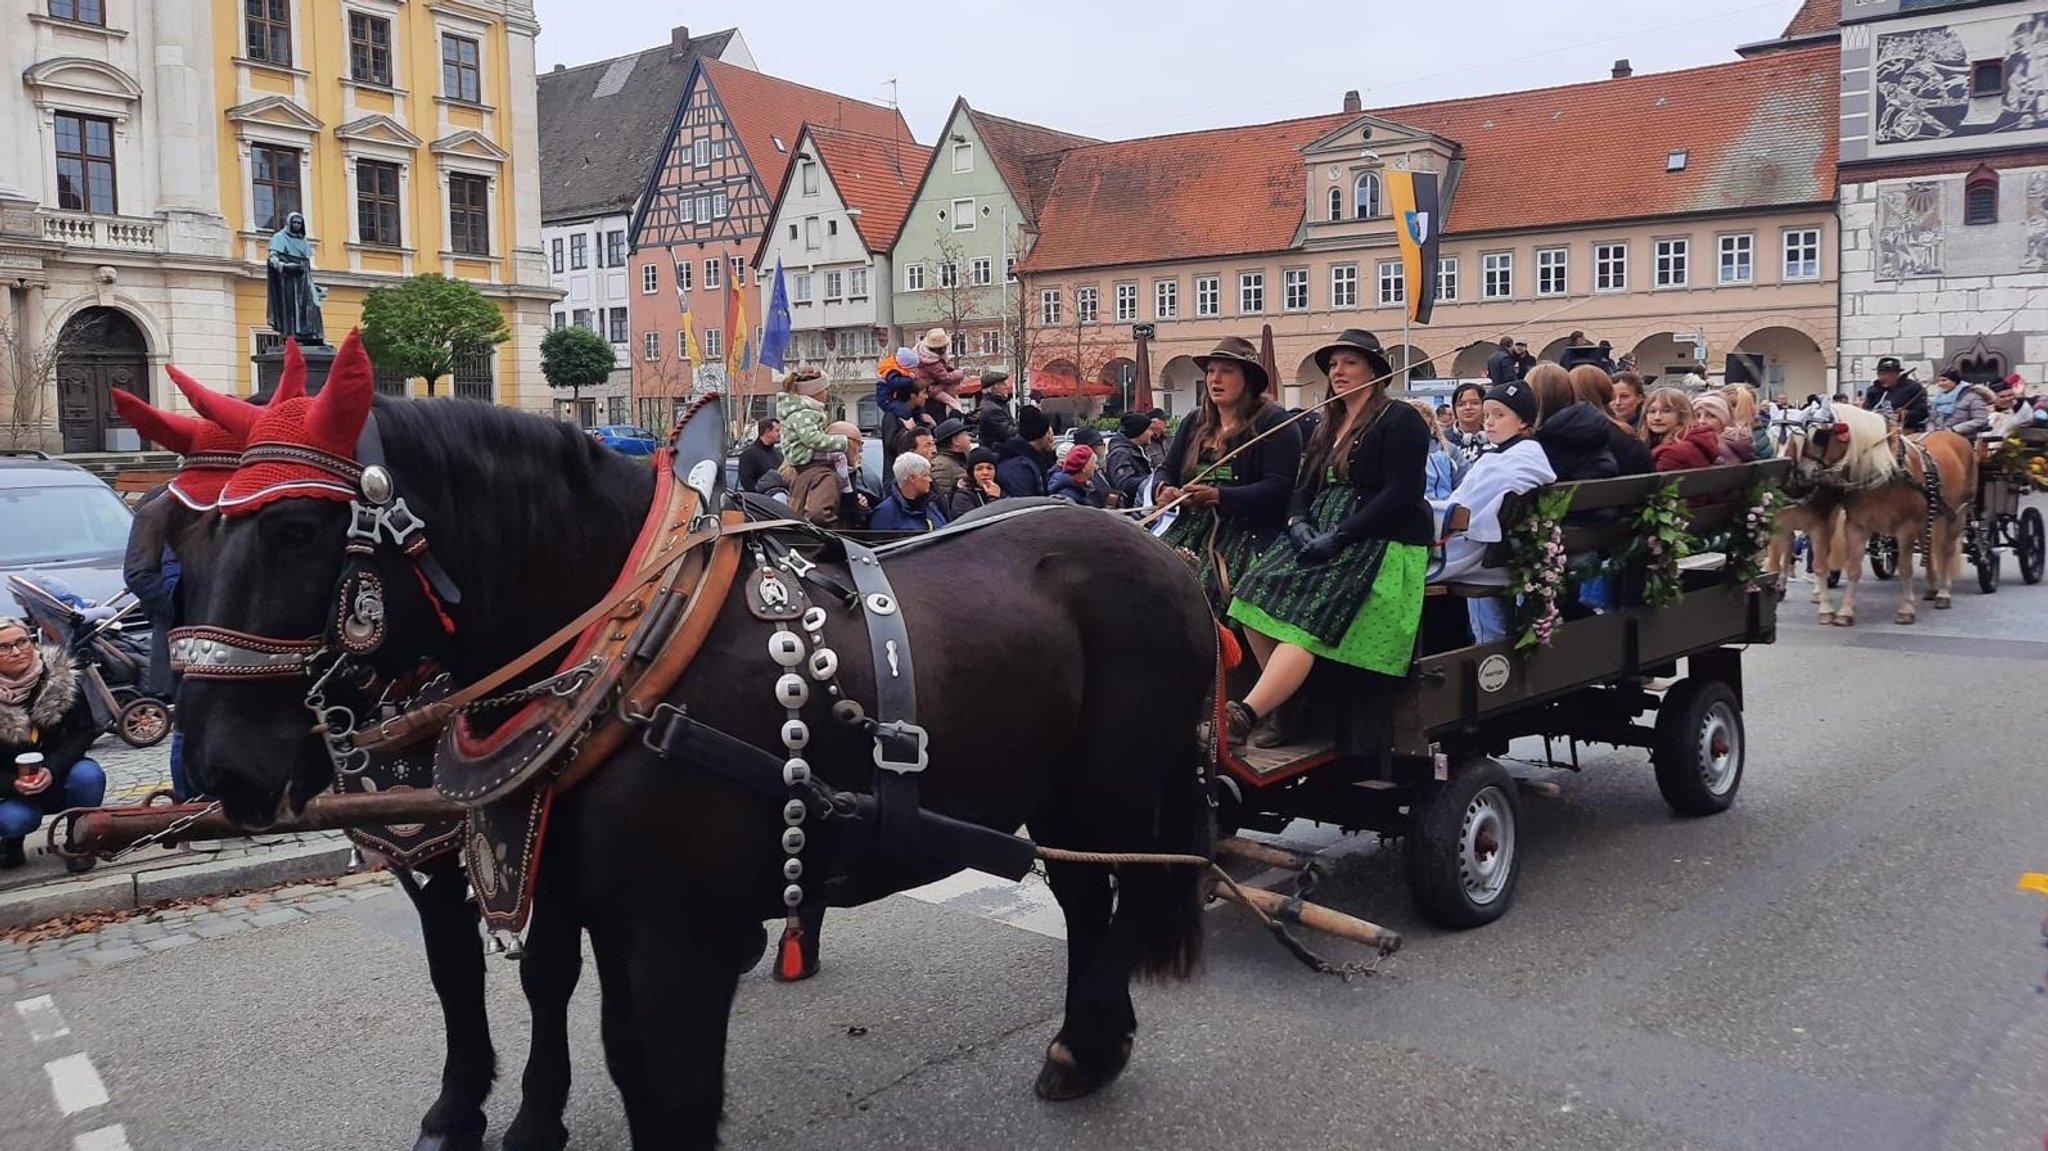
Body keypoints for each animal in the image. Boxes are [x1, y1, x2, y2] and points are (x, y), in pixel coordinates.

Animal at [117, 358, 589, 1146]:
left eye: (297, 530)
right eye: (176, 537)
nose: (222, 770)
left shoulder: (556, 840)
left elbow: (548, 970)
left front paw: (537, 1111)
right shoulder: (425, 843)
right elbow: (451, 966)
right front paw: (458, 1103)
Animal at [172, 327, 1212, 1138]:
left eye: (297, 531)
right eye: (186, 533)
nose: (219, 767)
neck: (637, 641)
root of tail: (1160, 547)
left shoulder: (681, 936)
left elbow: (669, 1091)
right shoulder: (600, 909)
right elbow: (611, 1051)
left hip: (1114, 788)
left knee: (1121, 893)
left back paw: (1088, 1038)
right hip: (1059, 793)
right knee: (1084, 897)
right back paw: (1090, 1041)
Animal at [1785, 399, 1974, 622]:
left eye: (1820, 435)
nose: (1799, 474)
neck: (1883, 471)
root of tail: (1954, 436)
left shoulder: (1906, 527)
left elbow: (1906, 568)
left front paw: (1906, 609)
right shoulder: (1856, 526)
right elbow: (1854, 568)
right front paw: (1845, 611)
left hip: (1957, 514)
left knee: (1946, 550)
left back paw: (1943, 592)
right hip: (1927, 518)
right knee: (1927, 546)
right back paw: (1931, 588)